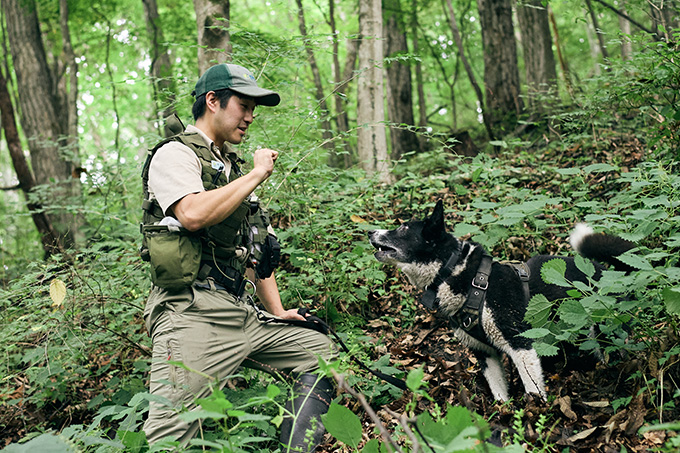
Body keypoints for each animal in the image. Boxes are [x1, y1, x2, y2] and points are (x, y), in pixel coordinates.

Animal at [370, 200, 636, 400]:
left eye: (403, 228)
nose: (370, 232)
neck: (457, 273)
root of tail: (607, 271)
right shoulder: (485, 353)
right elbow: (498, 390)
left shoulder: (520, 344)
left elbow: (533, 388)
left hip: (606, 328)